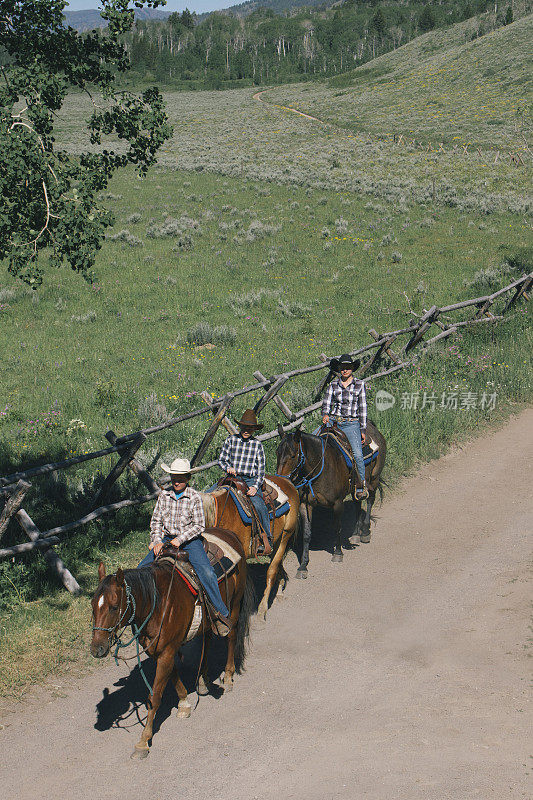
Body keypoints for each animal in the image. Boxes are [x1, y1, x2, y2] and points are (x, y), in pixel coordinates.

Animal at [90, 528, 254, 760]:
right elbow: (173, 675)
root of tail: (229, 534)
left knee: (230, 636)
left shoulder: (167, 651)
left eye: (114, 607)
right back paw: (202, 680)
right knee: (208, 638)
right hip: (207, 620)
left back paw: (229, 676)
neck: (156, 603)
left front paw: (143, 742)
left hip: (234, 605)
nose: (97, 649)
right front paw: (184, 703)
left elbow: (155, 695)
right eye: (92, 605)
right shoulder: (160, 650)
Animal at [274, 422, 386, 580]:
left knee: (370, 500)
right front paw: (303, 566)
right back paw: (355, 534)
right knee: (357, 503)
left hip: (374, 479)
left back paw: (364, 532)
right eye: (277, 453)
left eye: (293, 455)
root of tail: (372, 426)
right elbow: (306, 534)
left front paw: (338, 553)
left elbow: (337, 527)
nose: (281, 480)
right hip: (356, 487)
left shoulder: (337, 503)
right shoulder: (305, 505)